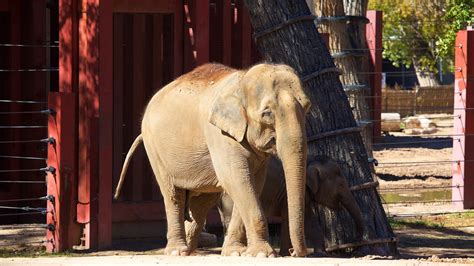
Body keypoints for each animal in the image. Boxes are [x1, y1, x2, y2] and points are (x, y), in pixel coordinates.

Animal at [113, 62, 310, 258]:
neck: (242, 80)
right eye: (267, 113)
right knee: (173, 195)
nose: (293, 252)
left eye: (307, 106)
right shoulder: (218, 133)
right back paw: (177, 251)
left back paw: (189, 251)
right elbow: (236, 179)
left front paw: (235, 253)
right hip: (154, 148)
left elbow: (252, 182)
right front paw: (262, 254)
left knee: (201, 203)